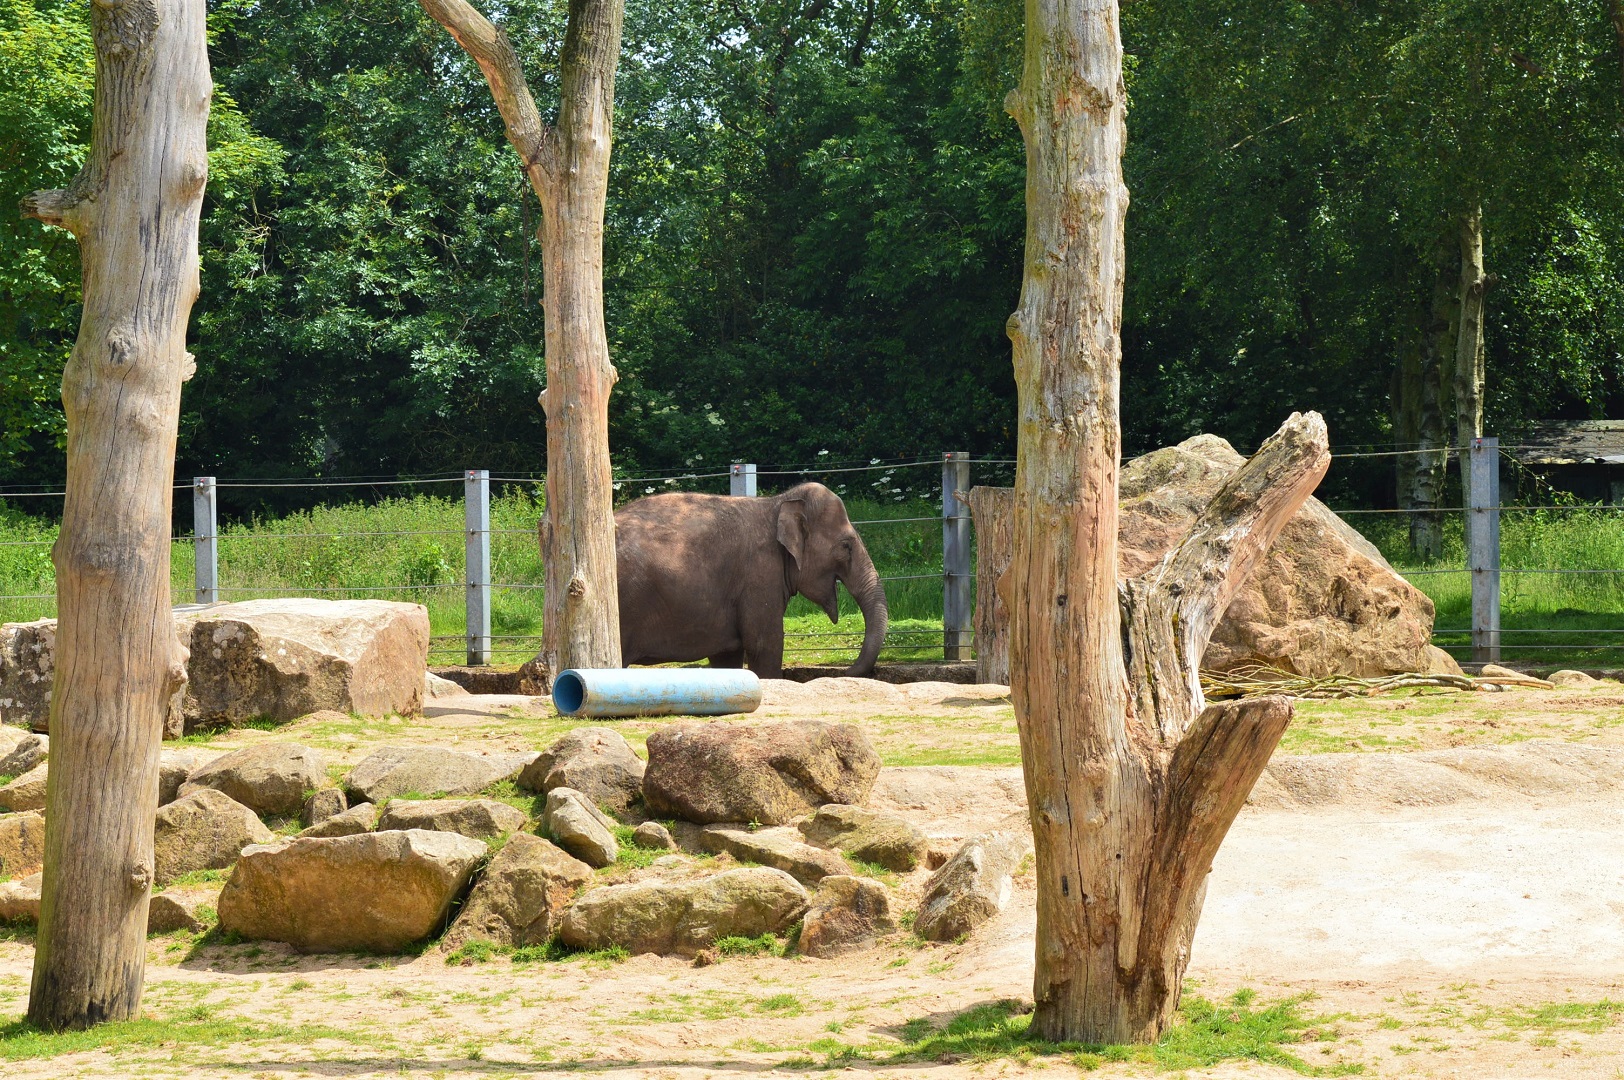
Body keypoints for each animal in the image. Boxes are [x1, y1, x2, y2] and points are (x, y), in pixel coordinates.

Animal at [615, 482, 888, 678]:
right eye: (846, 546)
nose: (844, 671)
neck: (776, 504)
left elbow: (727, 656)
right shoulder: (760, 574)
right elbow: (765, 645)